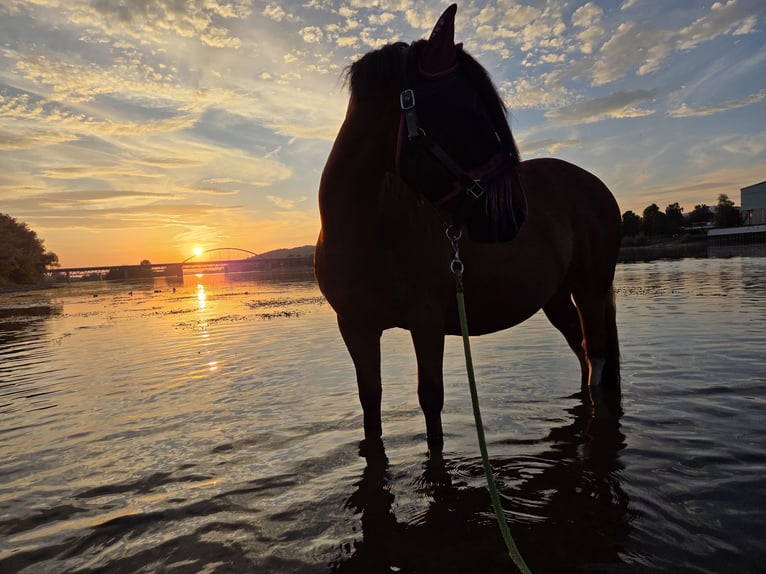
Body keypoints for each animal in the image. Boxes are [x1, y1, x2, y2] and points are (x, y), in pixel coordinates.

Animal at [315, 4, 622, 453]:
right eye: (468, 112)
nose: (515, 215)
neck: (364, 230)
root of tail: (596, 186)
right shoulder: (355, 328)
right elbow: (370, 404)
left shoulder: (426, 323)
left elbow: (431, 405)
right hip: (557, 296)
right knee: (581, 351)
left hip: (591, 288)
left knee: (596, 356)